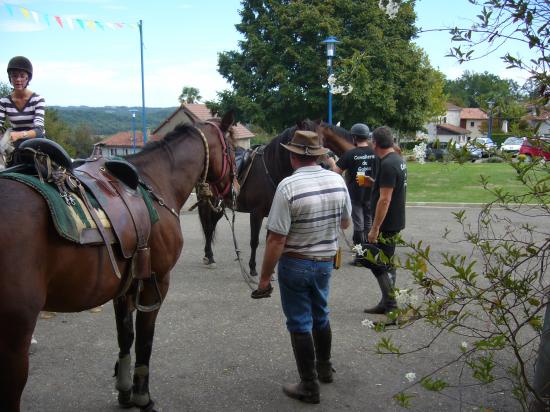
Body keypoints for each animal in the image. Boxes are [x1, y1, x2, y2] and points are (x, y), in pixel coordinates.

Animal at [0, 112, 235, 412]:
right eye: (232, 149)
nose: (233, 190)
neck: (156, 182)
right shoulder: (156, 282)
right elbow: (145, 339)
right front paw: (143, 397)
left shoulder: (125, 286)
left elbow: (125, 336)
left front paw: (124, 390)